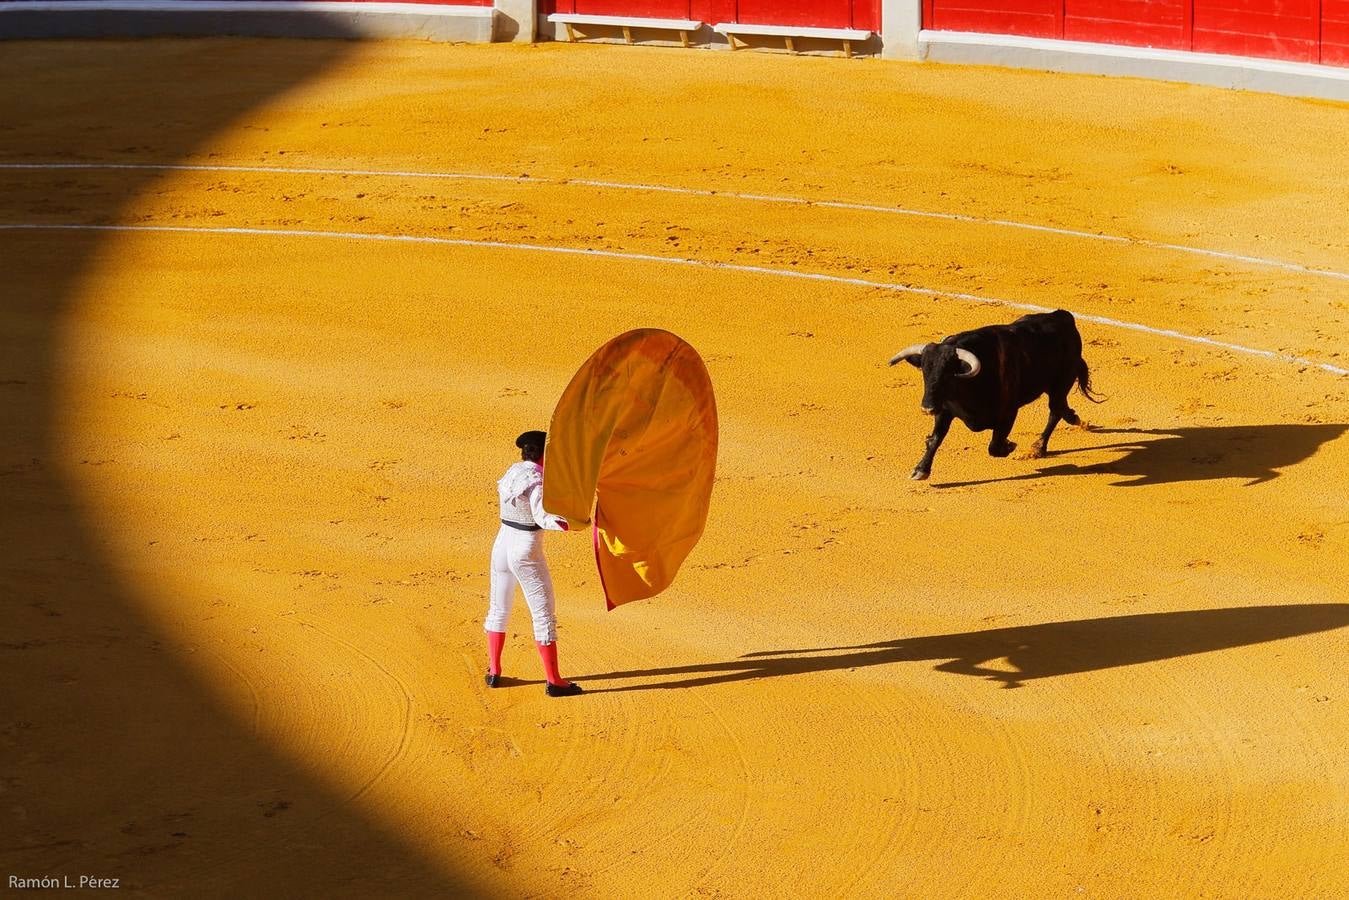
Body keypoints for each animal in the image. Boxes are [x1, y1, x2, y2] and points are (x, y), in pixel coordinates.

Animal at [890, 310, 1100, 477]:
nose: (927, 408)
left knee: (1055, 410)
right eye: (924, 371)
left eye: (948, 373)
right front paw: (921, 470)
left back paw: (1039, 446)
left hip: (1059, 385)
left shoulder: (1008, 412)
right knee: (1060, 408)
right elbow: (935, 439)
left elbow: (994, 446)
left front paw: (1010, 446)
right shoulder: (945, 410)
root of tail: (1063, 316)